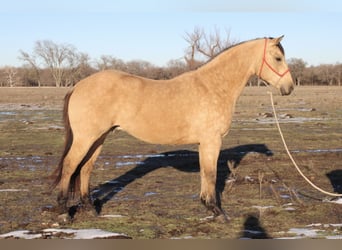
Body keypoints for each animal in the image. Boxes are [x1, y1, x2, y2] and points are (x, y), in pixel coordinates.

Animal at [52, 35, 294, 221]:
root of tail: (78, 86)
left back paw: (90, 207)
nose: (289, 88)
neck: (213, 86)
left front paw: (208, 206)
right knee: (70, 166)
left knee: (85, 168)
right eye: (278, 58)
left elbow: (205, 174)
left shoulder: (205, 143)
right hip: (86, 137)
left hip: (99, 138)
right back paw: (63, 211)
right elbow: (211, 174)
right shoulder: (211, 141)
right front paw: (217, 211)